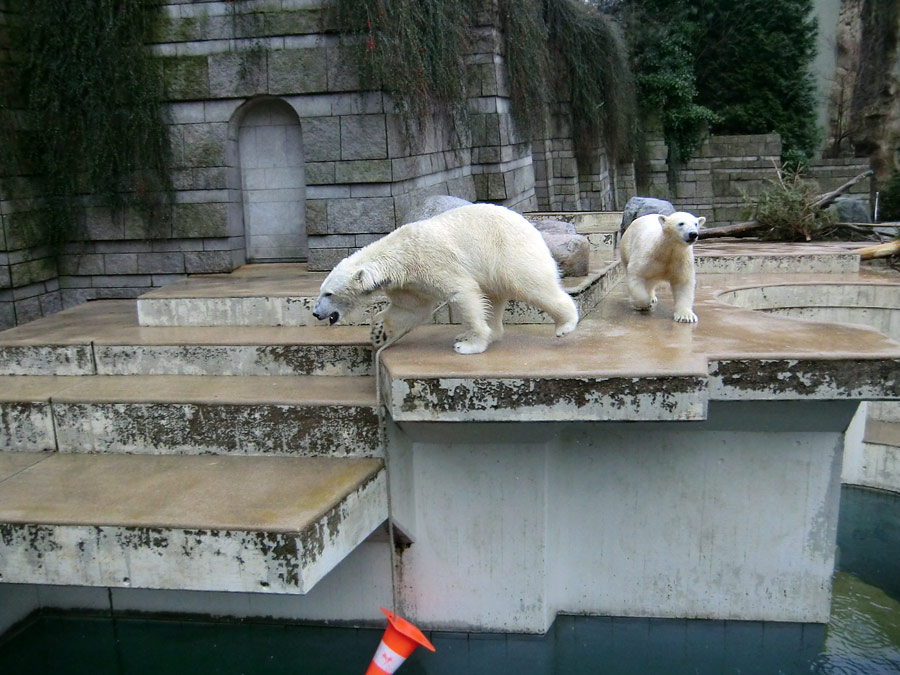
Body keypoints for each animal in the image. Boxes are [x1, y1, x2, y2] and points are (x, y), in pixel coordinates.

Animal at [312, 203, 580, 354]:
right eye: (321, 291)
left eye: (328, 293)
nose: (316, 313)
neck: (400, 257)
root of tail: (530, 224)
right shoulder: (409, 283)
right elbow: (410, 309)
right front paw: (379, 332)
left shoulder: (433, 262)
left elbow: (462, 292)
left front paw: (469, 346)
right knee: (493, 298)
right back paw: (485, 333)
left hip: (508, 252)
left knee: (532, 285)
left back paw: (565, 325)